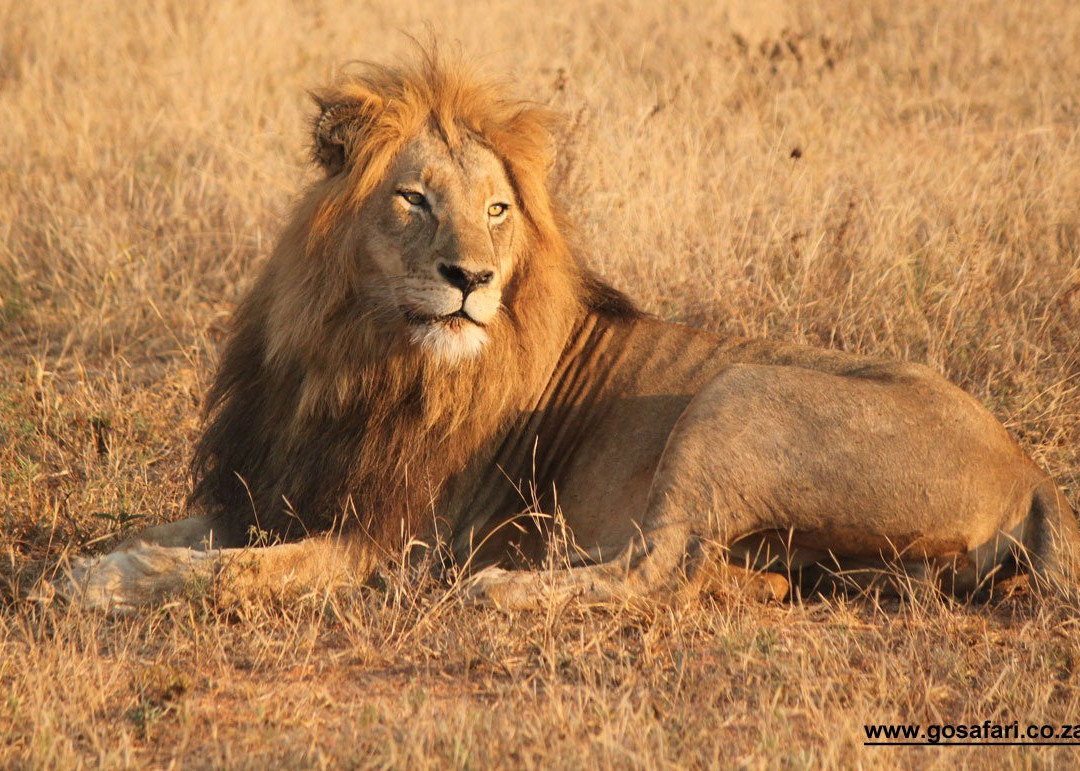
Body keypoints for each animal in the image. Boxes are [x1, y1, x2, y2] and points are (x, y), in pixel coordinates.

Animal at [61, 51, 1080, 609]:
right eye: (414, 199)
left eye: (498, 209)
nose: (470, 279)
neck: (355, 357)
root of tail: (1031, 472)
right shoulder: (269, 489)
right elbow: (189, 534)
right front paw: (82, 563)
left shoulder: (384, 543)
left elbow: (227, 572)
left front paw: (110, 583)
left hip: (739, 394)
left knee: (656, 568)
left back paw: (502, 588)